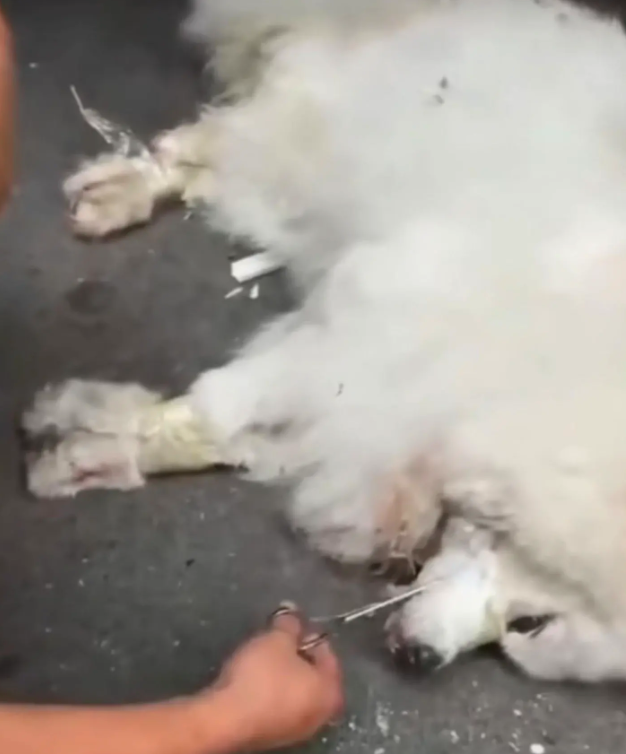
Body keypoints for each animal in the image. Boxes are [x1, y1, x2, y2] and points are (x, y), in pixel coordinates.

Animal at [21, 0, 626, 682]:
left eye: (526, 628)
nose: (421, 659)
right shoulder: (382, 323)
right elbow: (211, 412)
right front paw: (83, 438)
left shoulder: (376, 409)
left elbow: (234, 443)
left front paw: (99, 451)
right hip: (309, 146)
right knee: (200, 146)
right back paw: (121, 193)